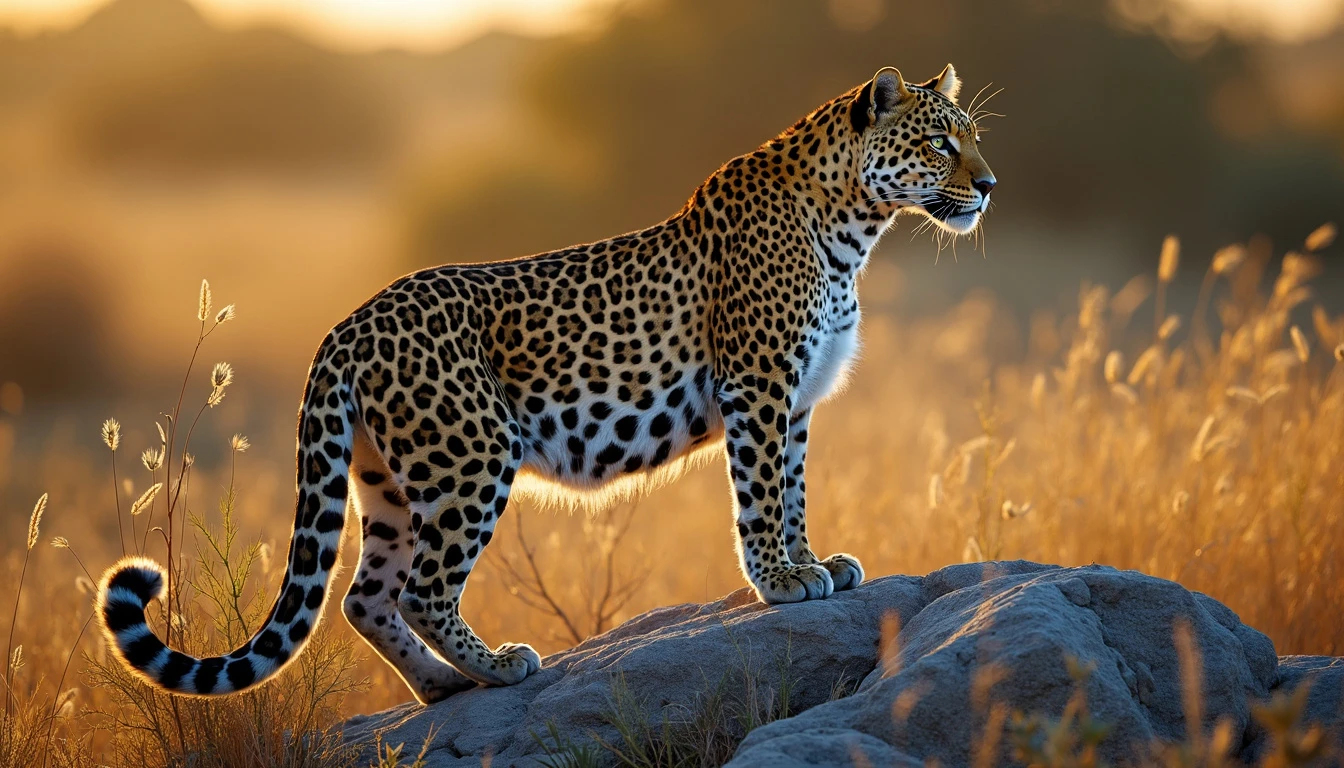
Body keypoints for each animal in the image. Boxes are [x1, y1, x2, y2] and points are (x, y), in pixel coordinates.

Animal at [97, 63, 999, 704]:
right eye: (942, 144)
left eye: (970, 139)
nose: (989, 186)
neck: (854, 227)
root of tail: (341, 330)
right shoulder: (759, 387)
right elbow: (760, 493)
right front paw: (781, 582)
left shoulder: (800, 398)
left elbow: (796, 489)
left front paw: (815, 562)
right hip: (471, 455)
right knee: (423, 588)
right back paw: (499, 667)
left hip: (386, 480)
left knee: (365, 595)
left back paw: (444, 687)